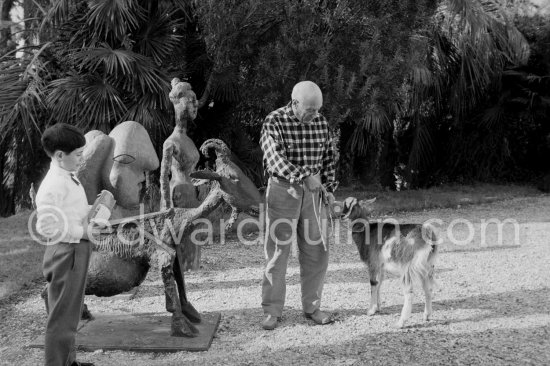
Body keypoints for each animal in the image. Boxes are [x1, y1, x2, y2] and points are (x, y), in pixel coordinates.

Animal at [340, 197, 440, 328]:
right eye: (344, 204)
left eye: (354, 205)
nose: (342, 216)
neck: (366, 233)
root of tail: (428, 234)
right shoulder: (381, 266)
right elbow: (379, 283)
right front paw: (378, 307)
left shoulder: (373, 263)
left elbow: (373, 283)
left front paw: (371, 310)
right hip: (427, 265)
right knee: (428, 288)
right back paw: (427, 316)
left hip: (407, 266)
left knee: (409, 291)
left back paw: (401, 322)